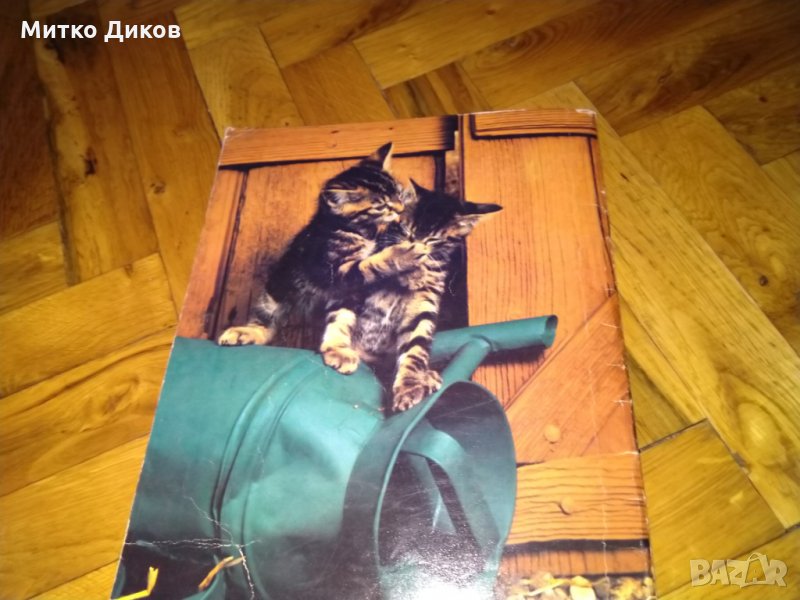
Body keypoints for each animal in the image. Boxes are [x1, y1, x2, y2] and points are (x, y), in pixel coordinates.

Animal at [217, 142, 427, 372]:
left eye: (399, 194)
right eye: (381, 205)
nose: (400, 208)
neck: (355, 230)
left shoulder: (349, 289)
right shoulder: (331, 271)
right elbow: (370, 265)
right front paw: (404, 254)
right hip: (278, 288)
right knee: (266, 321)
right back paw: (247, 332)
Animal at [325, 179, 502, 411]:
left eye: (433, 238)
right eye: (407, 227)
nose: (414, 243)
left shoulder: (424, 302)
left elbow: (416, 345)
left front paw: (410, 385)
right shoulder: (351, 282)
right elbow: (341, 313)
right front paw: (337, 350)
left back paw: (427, 376)